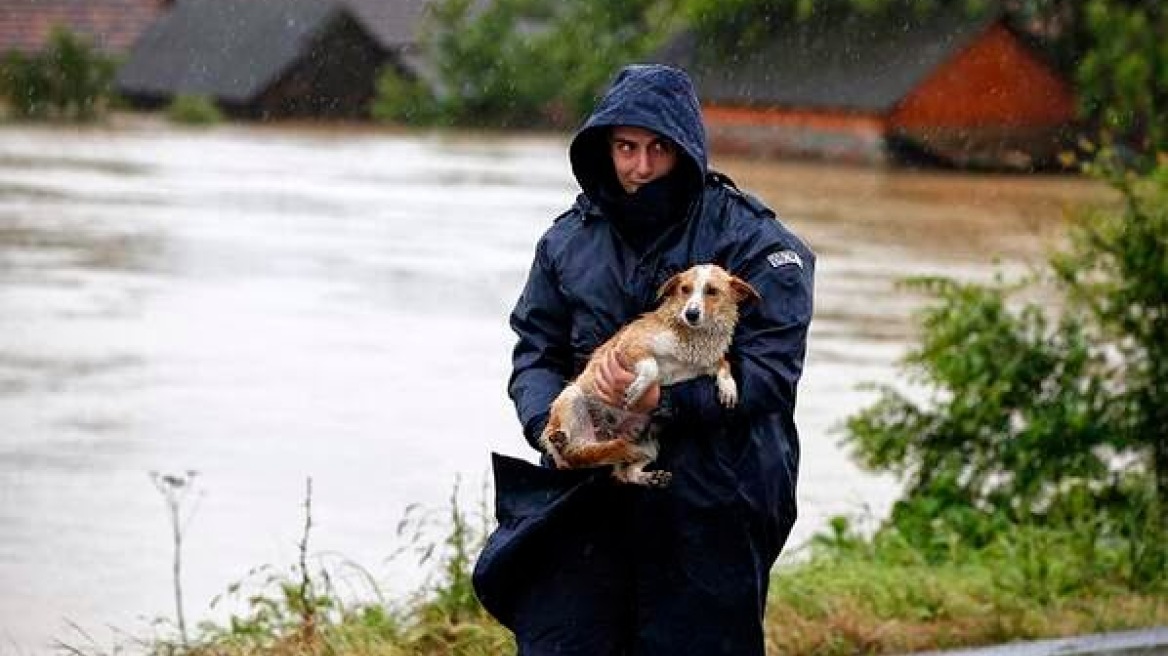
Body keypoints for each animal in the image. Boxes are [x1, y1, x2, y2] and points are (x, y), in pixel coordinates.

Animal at [537, 261, 756, 485]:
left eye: (712, 291)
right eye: (684, 289)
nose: (691, 314)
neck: (692, 336)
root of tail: (605, 435)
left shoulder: (702, 364)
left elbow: (723, 362)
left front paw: (728, 387)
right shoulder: (630, 346)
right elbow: (652, 366)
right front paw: (637, 389)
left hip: (647, 444)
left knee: (622, 471)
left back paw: (648, 476)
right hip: (572, 397)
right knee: (570, 451)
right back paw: (560, 440)